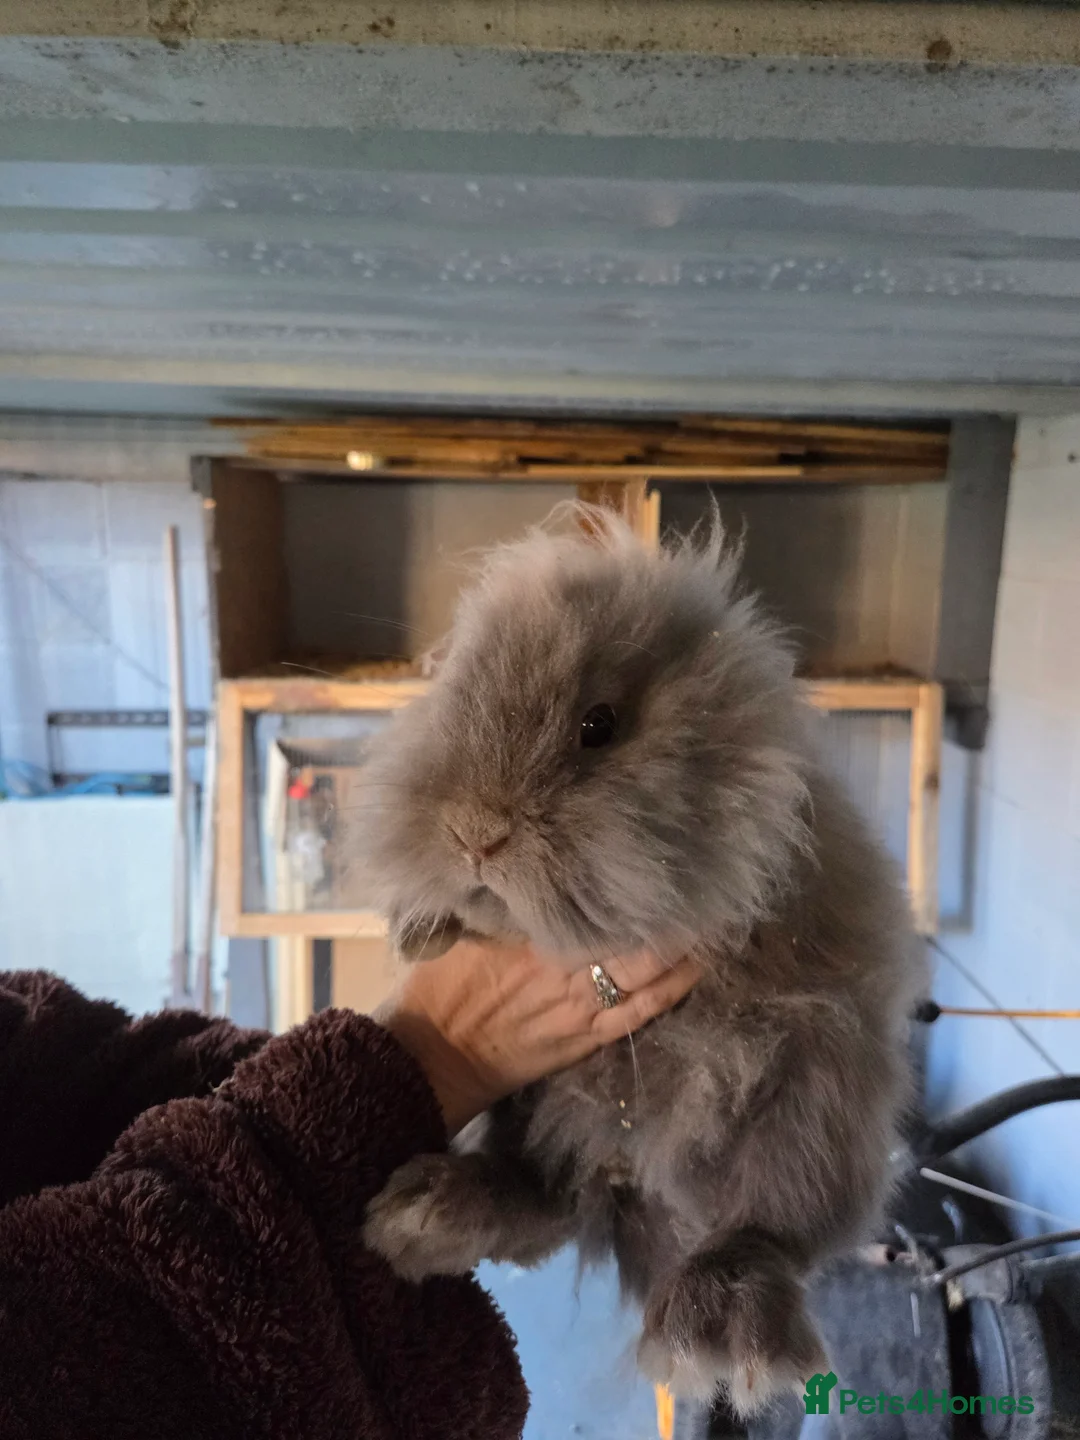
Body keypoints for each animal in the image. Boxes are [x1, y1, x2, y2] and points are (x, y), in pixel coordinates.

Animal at [357, 505, 927, 1415]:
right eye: (453, 697)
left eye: (599, 727)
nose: (475, 834)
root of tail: (625, 1182)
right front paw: (423, 924)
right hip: (535, 1105)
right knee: (542, 1195)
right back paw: (423, 1215)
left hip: (815, 1097)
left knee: (762, 1230)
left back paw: (718, 1330)